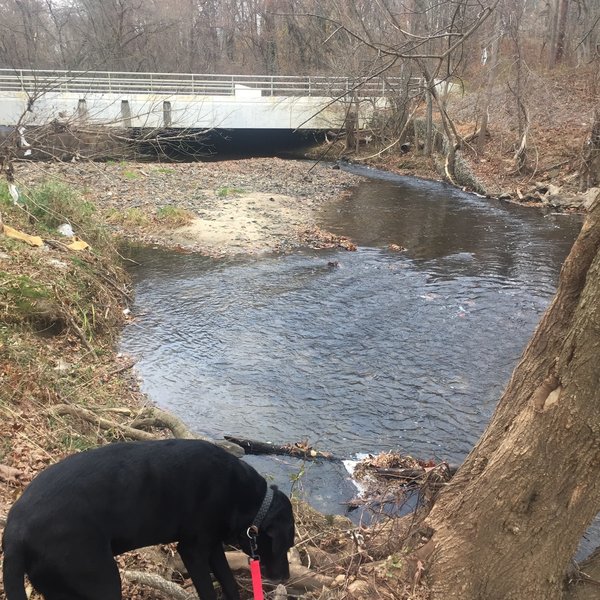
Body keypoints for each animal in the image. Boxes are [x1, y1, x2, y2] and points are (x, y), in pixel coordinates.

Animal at [0, 436, 296, 600]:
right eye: (286, 544)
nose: (285, 577)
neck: (244, 496)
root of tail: (14, 532)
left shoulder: (212, 547)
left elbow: (229, 583)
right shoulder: (193, 551)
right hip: (103, 581)